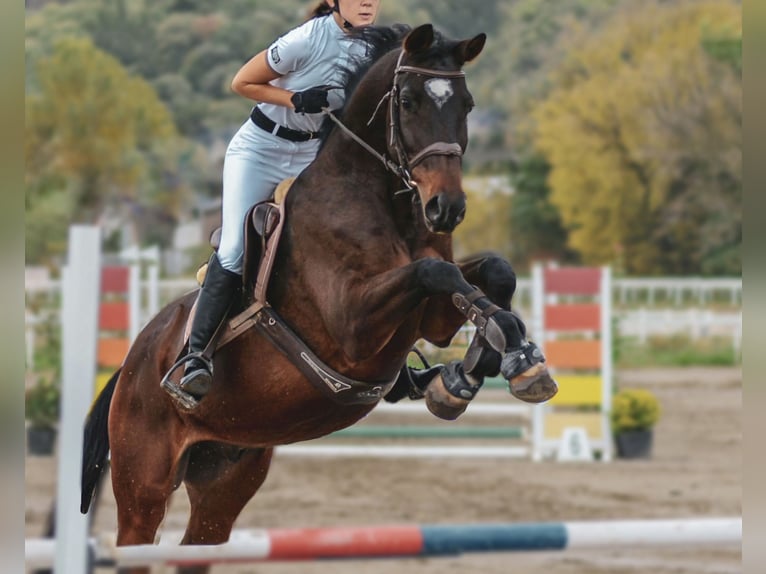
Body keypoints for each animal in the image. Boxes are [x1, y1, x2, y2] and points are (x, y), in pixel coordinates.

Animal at [80, 23, 557, 574]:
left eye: (468, 104)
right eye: (409, 101)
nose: (447, 208)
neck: (378, 196)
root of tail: (131, 365)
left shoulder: (431, 318)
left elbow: (490, 273)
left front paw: (490, 368)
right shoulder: (353, 326)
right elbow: (434, 271)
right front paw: (495, 362)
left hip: (226, 475)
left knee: (199, 541)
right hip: (143, 486)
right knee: (138, 533)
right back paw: (191, 370)